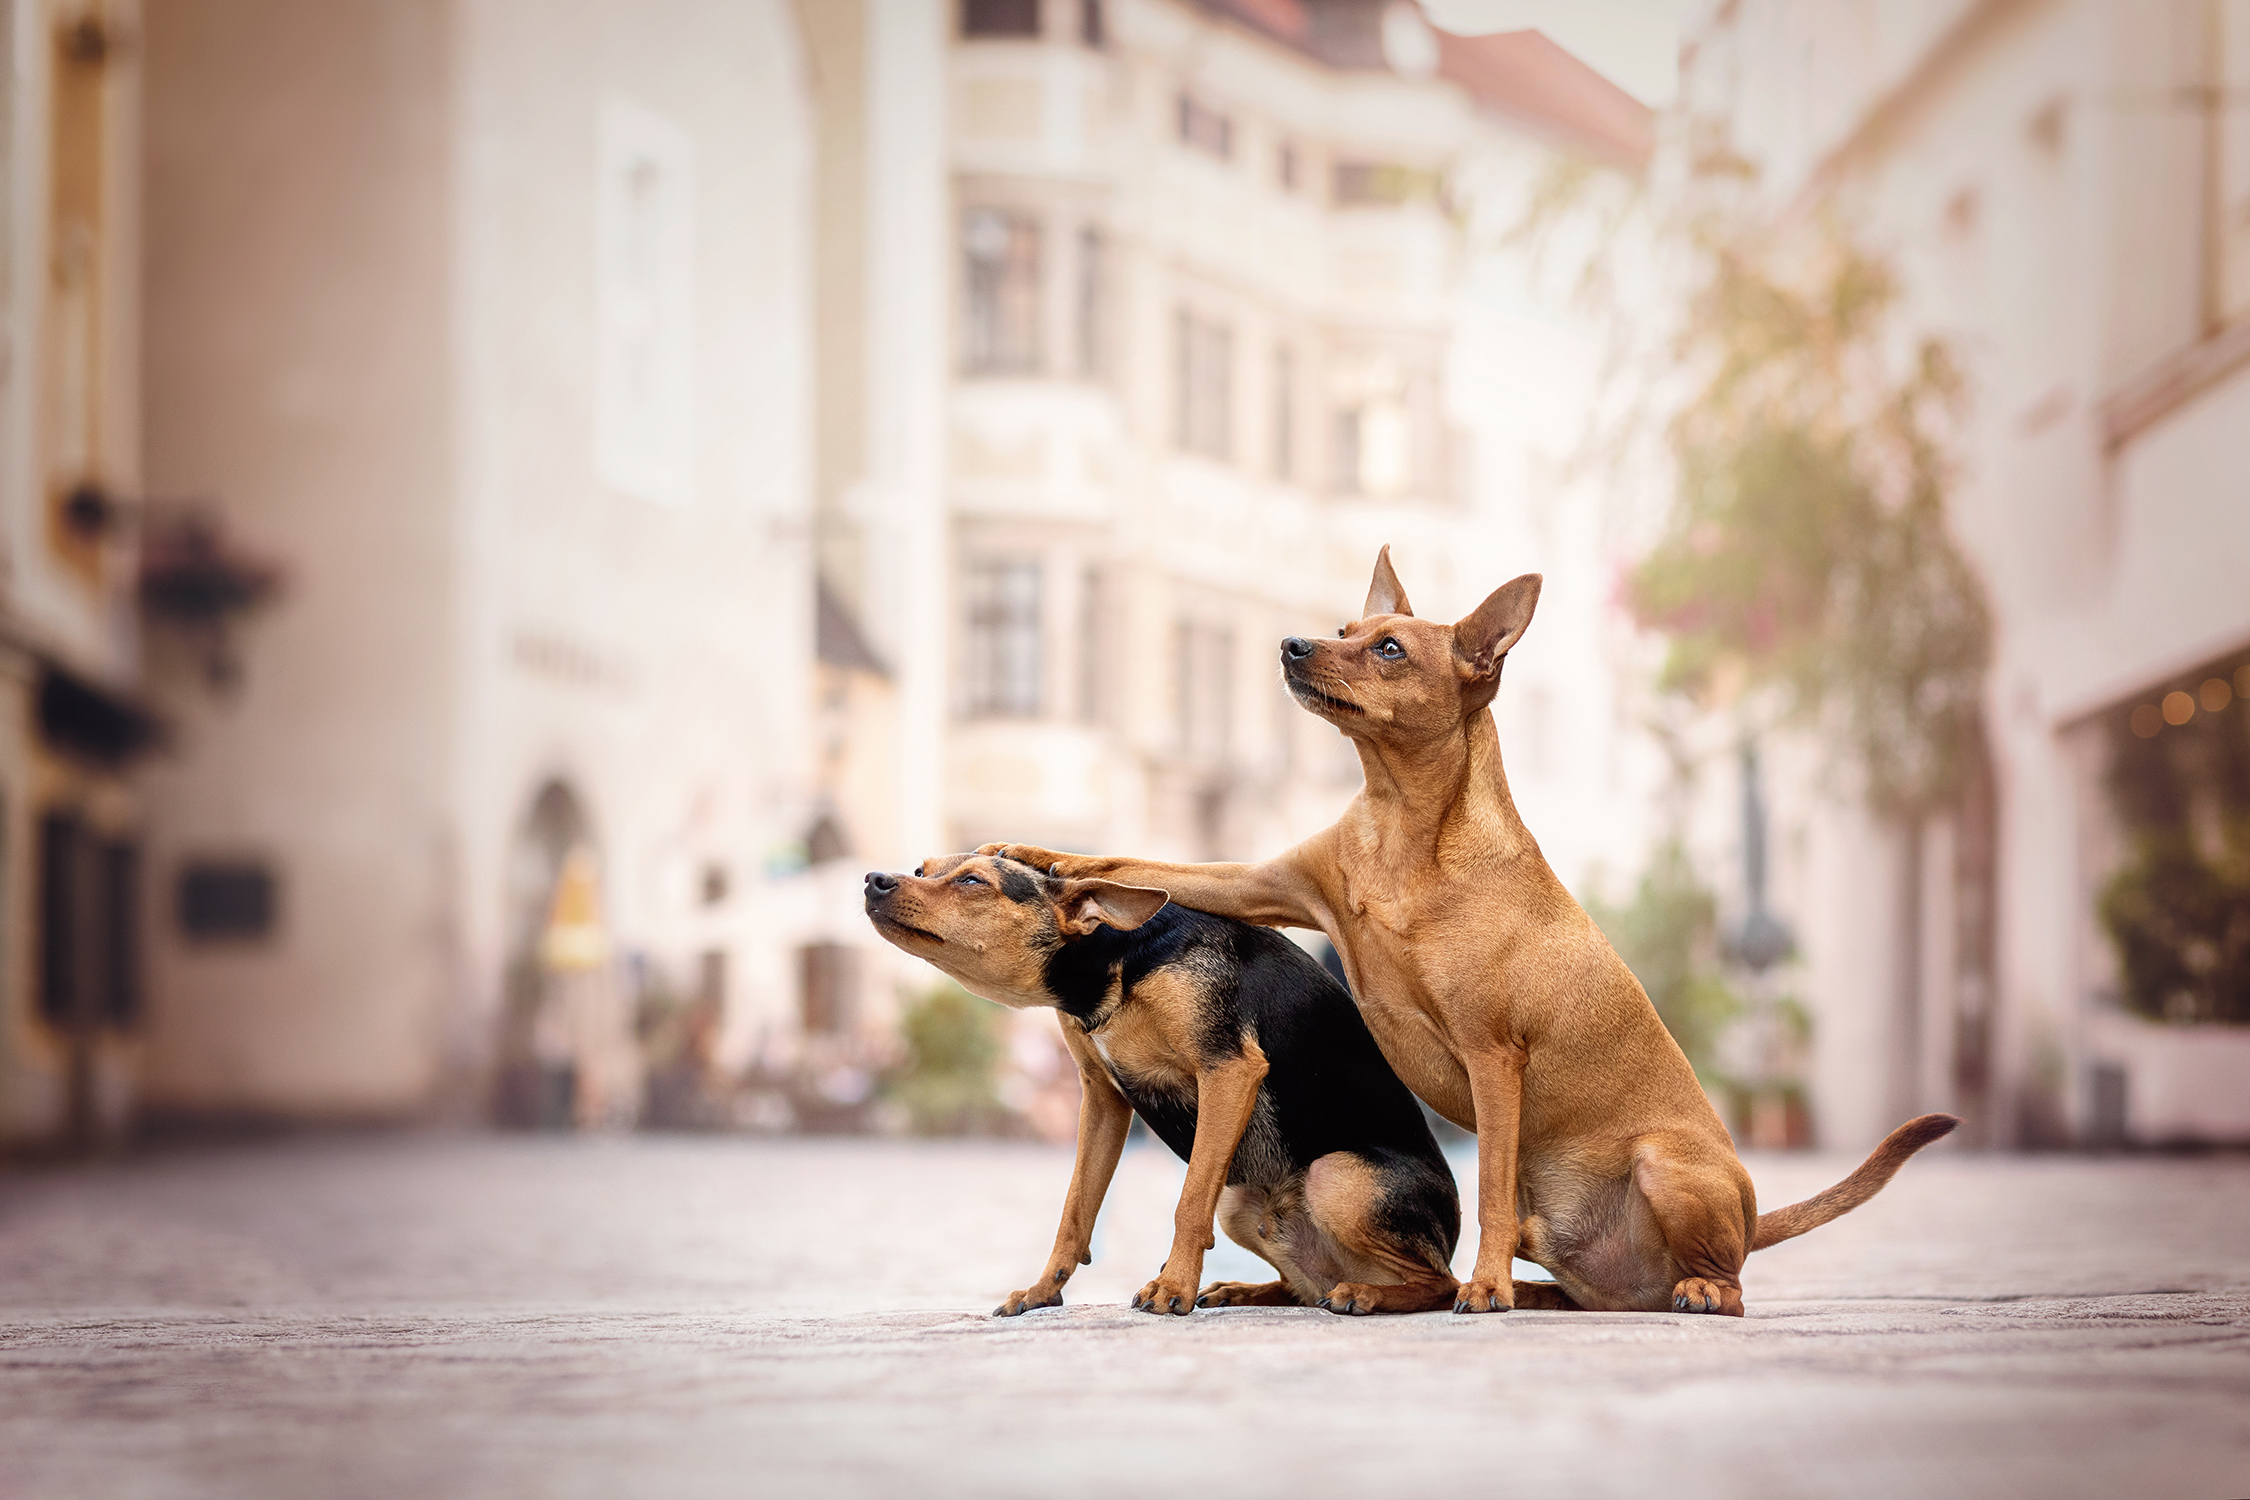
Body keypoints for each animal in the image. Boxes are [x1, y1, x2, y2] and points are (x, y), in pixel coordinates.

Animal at [859, 850, 1458, 1322]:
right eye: (922, 869)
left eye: (972, 882)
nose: (873, 879)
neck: (1114, 963)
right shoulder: (1101, 1100)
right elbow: (1075, 1210)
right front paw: (1042, 1292)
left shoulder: (1229, 1070)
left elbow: (1188, 1201)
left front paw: (1173, 1288)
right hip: (1241, 1201)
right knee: (1303, 1288)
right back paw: (1243, 1291)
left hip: (1336, 1175)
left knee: (1438, 1284)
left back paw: (1369, 1295)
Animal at [985, 550, 1953, 1313]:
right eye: (1345, 626)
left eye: (1388, 649)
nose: (1291, 646)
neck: (1403, 834)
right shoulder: (1269, 884)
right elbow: (1133, 860)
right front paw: (1032, 856)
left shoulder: (1493, 1058)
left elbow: (1485, 1187)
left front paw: (1482, 1288)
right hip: (1558, 1235)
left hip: (1662, 1167)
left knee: (1727, 1282)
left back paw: (1663, 1289)